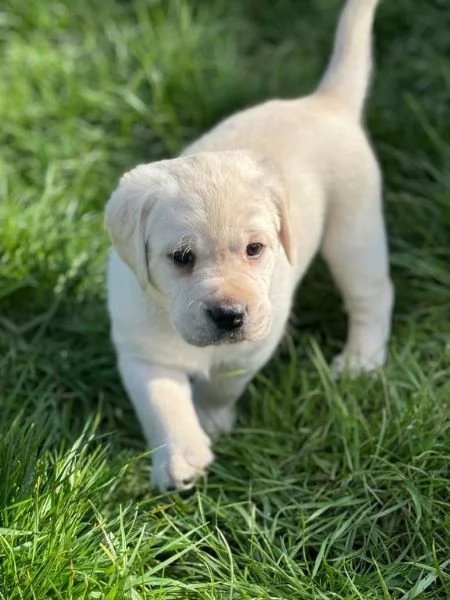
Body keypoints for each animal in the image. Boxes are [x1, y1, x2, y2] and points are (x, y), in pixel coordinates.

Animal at [105, 0, 394, 490]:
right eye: (181, 257)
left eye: (255, 249)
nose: (229, 315)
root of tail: (324, 102)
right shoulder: (140, 350)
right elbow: (161, 402)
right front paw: (181, 458)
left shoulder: (251, 347)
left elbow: (221, 384)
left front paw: (211, 418)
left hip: (353, 233)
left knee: (373, 296)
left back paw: (360, 361)